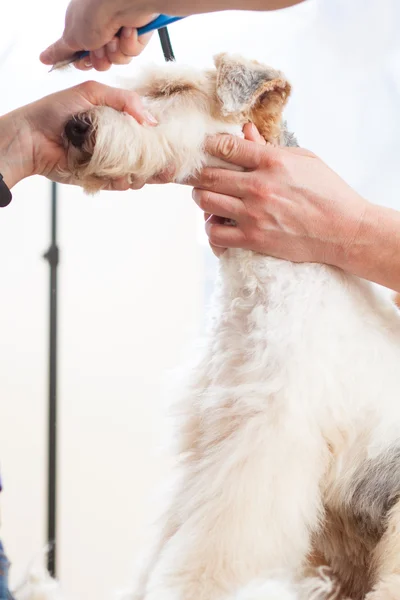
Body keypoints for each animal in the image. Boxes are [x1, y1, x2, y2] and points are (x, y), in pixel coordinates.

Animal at [57, 54, 400, 596]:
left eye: (173, 88)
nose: (74, 124)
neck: (259, 283)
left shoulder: (264, 433)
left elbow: (220, 540)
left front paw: (190, 587)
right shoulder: (212, 427)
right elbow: (176, 527)